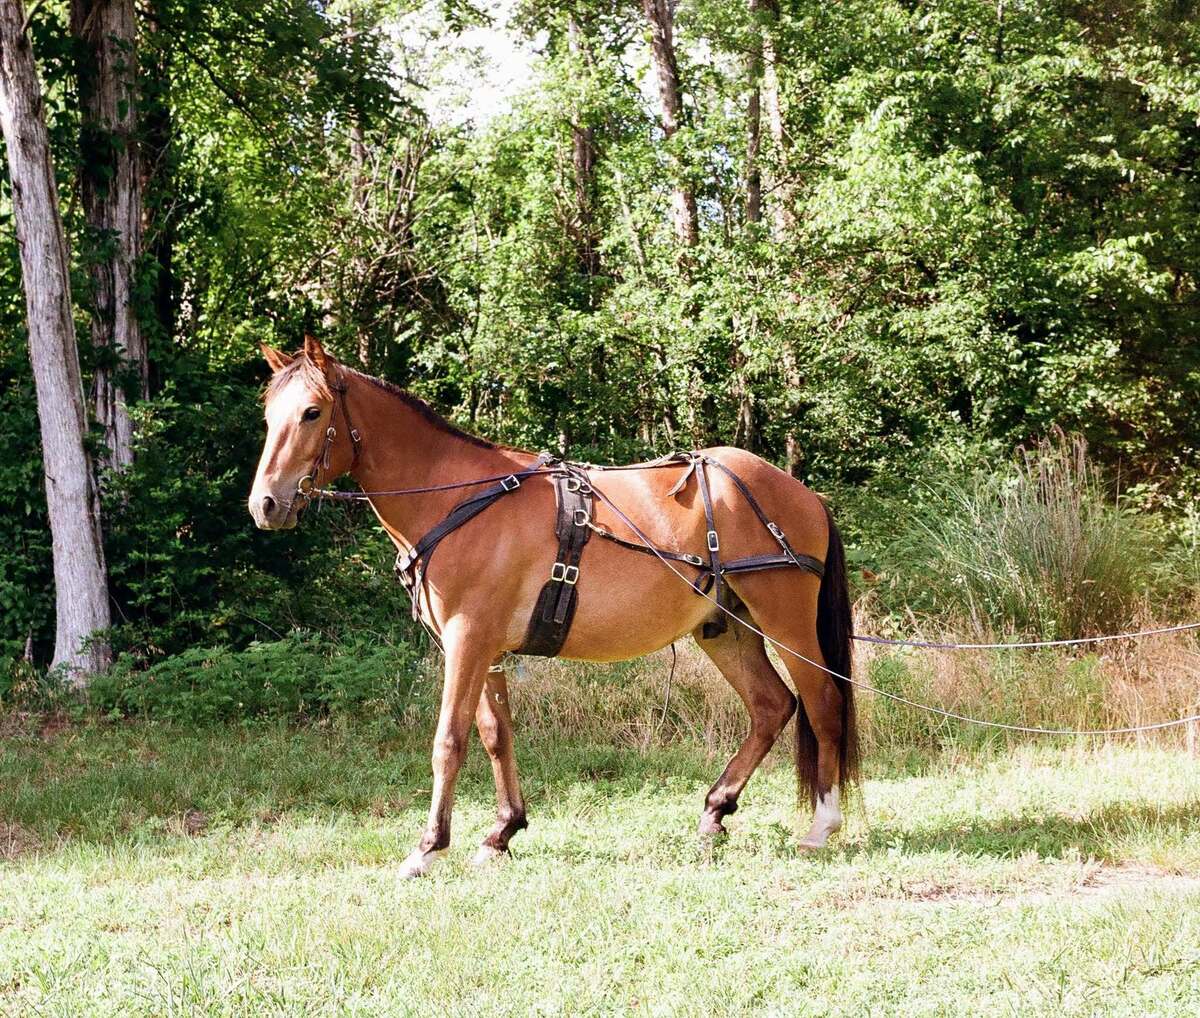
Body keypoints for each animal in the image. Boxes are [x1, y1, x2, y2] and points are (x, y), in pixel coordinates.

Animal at [249, 336, 858, 878]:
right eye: (268, 415)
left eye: (311, 412)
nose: (266, 504)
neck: (454, 497)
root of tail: (802, 493)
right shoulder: (485, 647)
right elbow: (495, 735)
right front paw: (501, 833)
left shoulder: (467, 638)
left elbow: (449, 739)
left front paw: (427, 848)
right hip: (724, 628)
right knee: (772, 706)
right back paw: (713, 814)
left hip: (786, 624)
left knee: (823, 701)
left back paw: (822, 826)